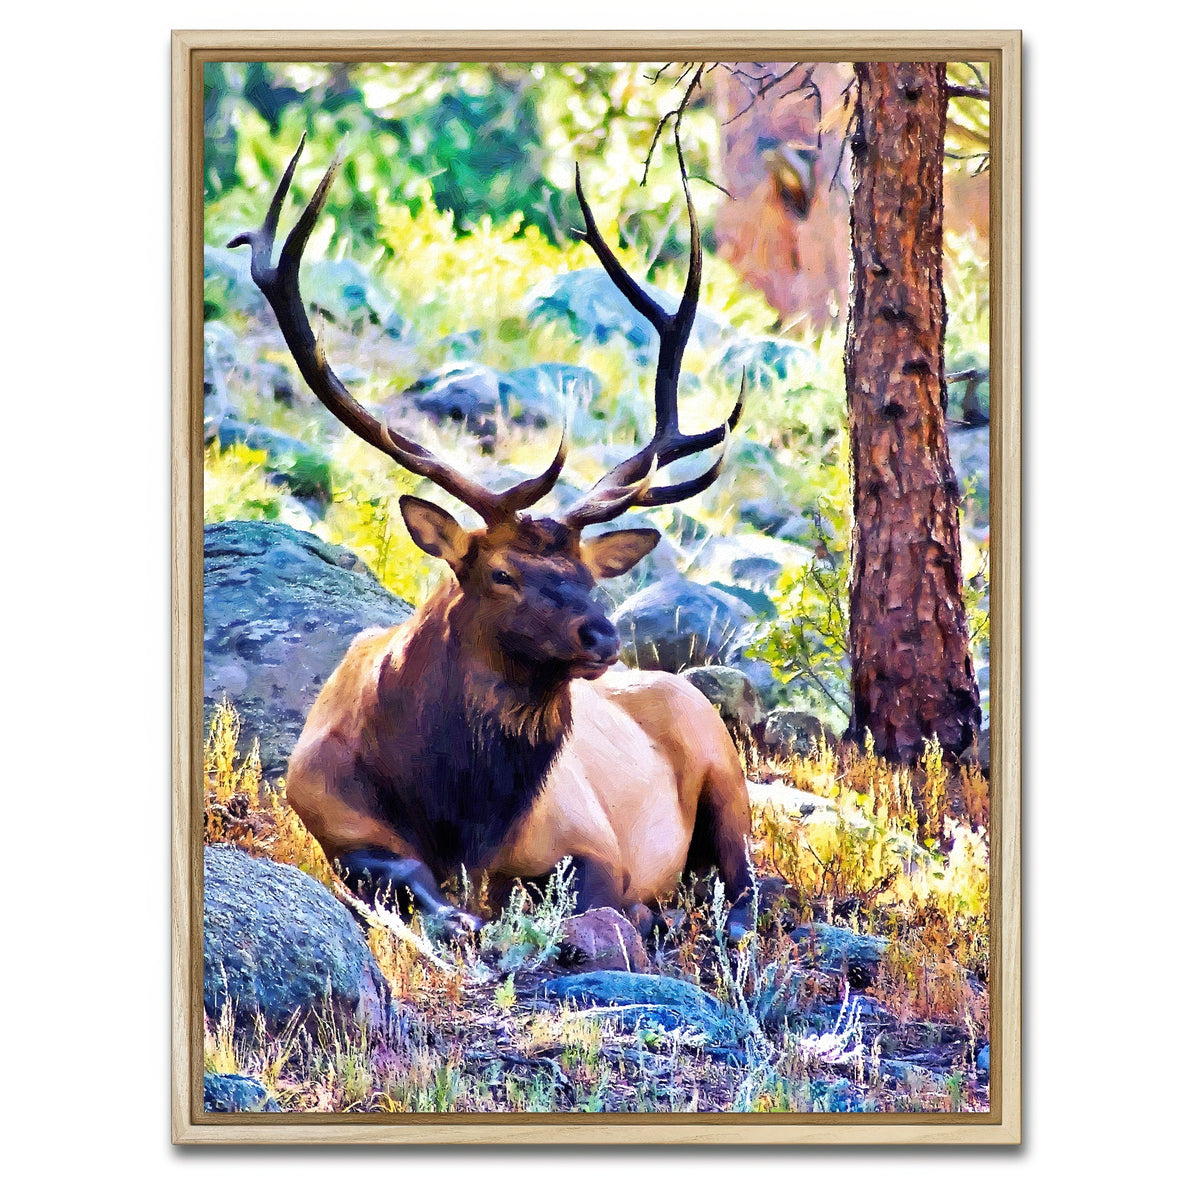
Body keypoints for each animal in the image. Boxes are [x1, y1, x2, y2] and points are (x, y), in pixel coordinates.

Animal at [229, 138, 757, 942]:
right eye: (502, 574)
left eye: (590, 577)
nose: (602, 636)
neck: (459, 815)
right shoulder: (331, 820)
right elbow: (407, 878)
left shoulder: (590, 839)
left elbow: (597, 893)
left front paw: (632, 912)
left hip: (724, 763)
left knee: (749, 881)